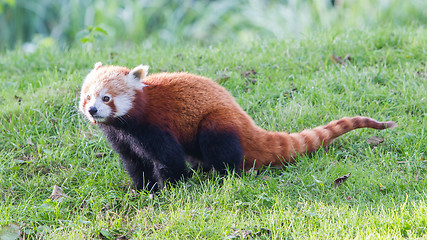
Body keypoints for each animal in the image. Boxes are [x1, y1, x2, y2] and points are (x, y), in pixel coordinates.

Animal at [79, 62, 398, 192]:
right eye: (88, 97)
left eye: (106, 97)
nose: (93, 110)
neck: (128, 122)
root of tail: (243, 117)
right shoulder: (122, 137)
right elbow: (134, 162)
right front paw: (142, 189)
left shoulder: (155, 126)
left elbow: (169, 160)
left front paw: (170, 189)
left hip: (217, 122)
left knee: (220, 147)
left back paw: (222, 175)